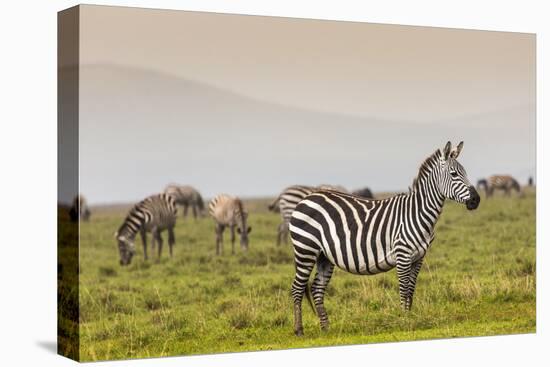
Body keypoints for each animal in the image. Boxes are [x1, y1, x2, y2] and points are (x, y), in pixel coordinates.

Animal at [292, 142, 480, 338]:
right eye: (454, 174)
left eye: (465, 172)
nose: (476, 200)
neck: (418, 213)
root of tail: (306, 198)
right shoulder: (402, 255)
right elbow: (403, 289)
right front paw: (404, 321)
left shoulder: (419, 258)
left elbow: (411, 289)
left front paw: (410, 317)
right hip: (305, 249)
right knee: (297, 288)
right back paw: (299, 330)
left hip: (324, 256)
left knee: (316, 289)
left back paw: (326, 329)